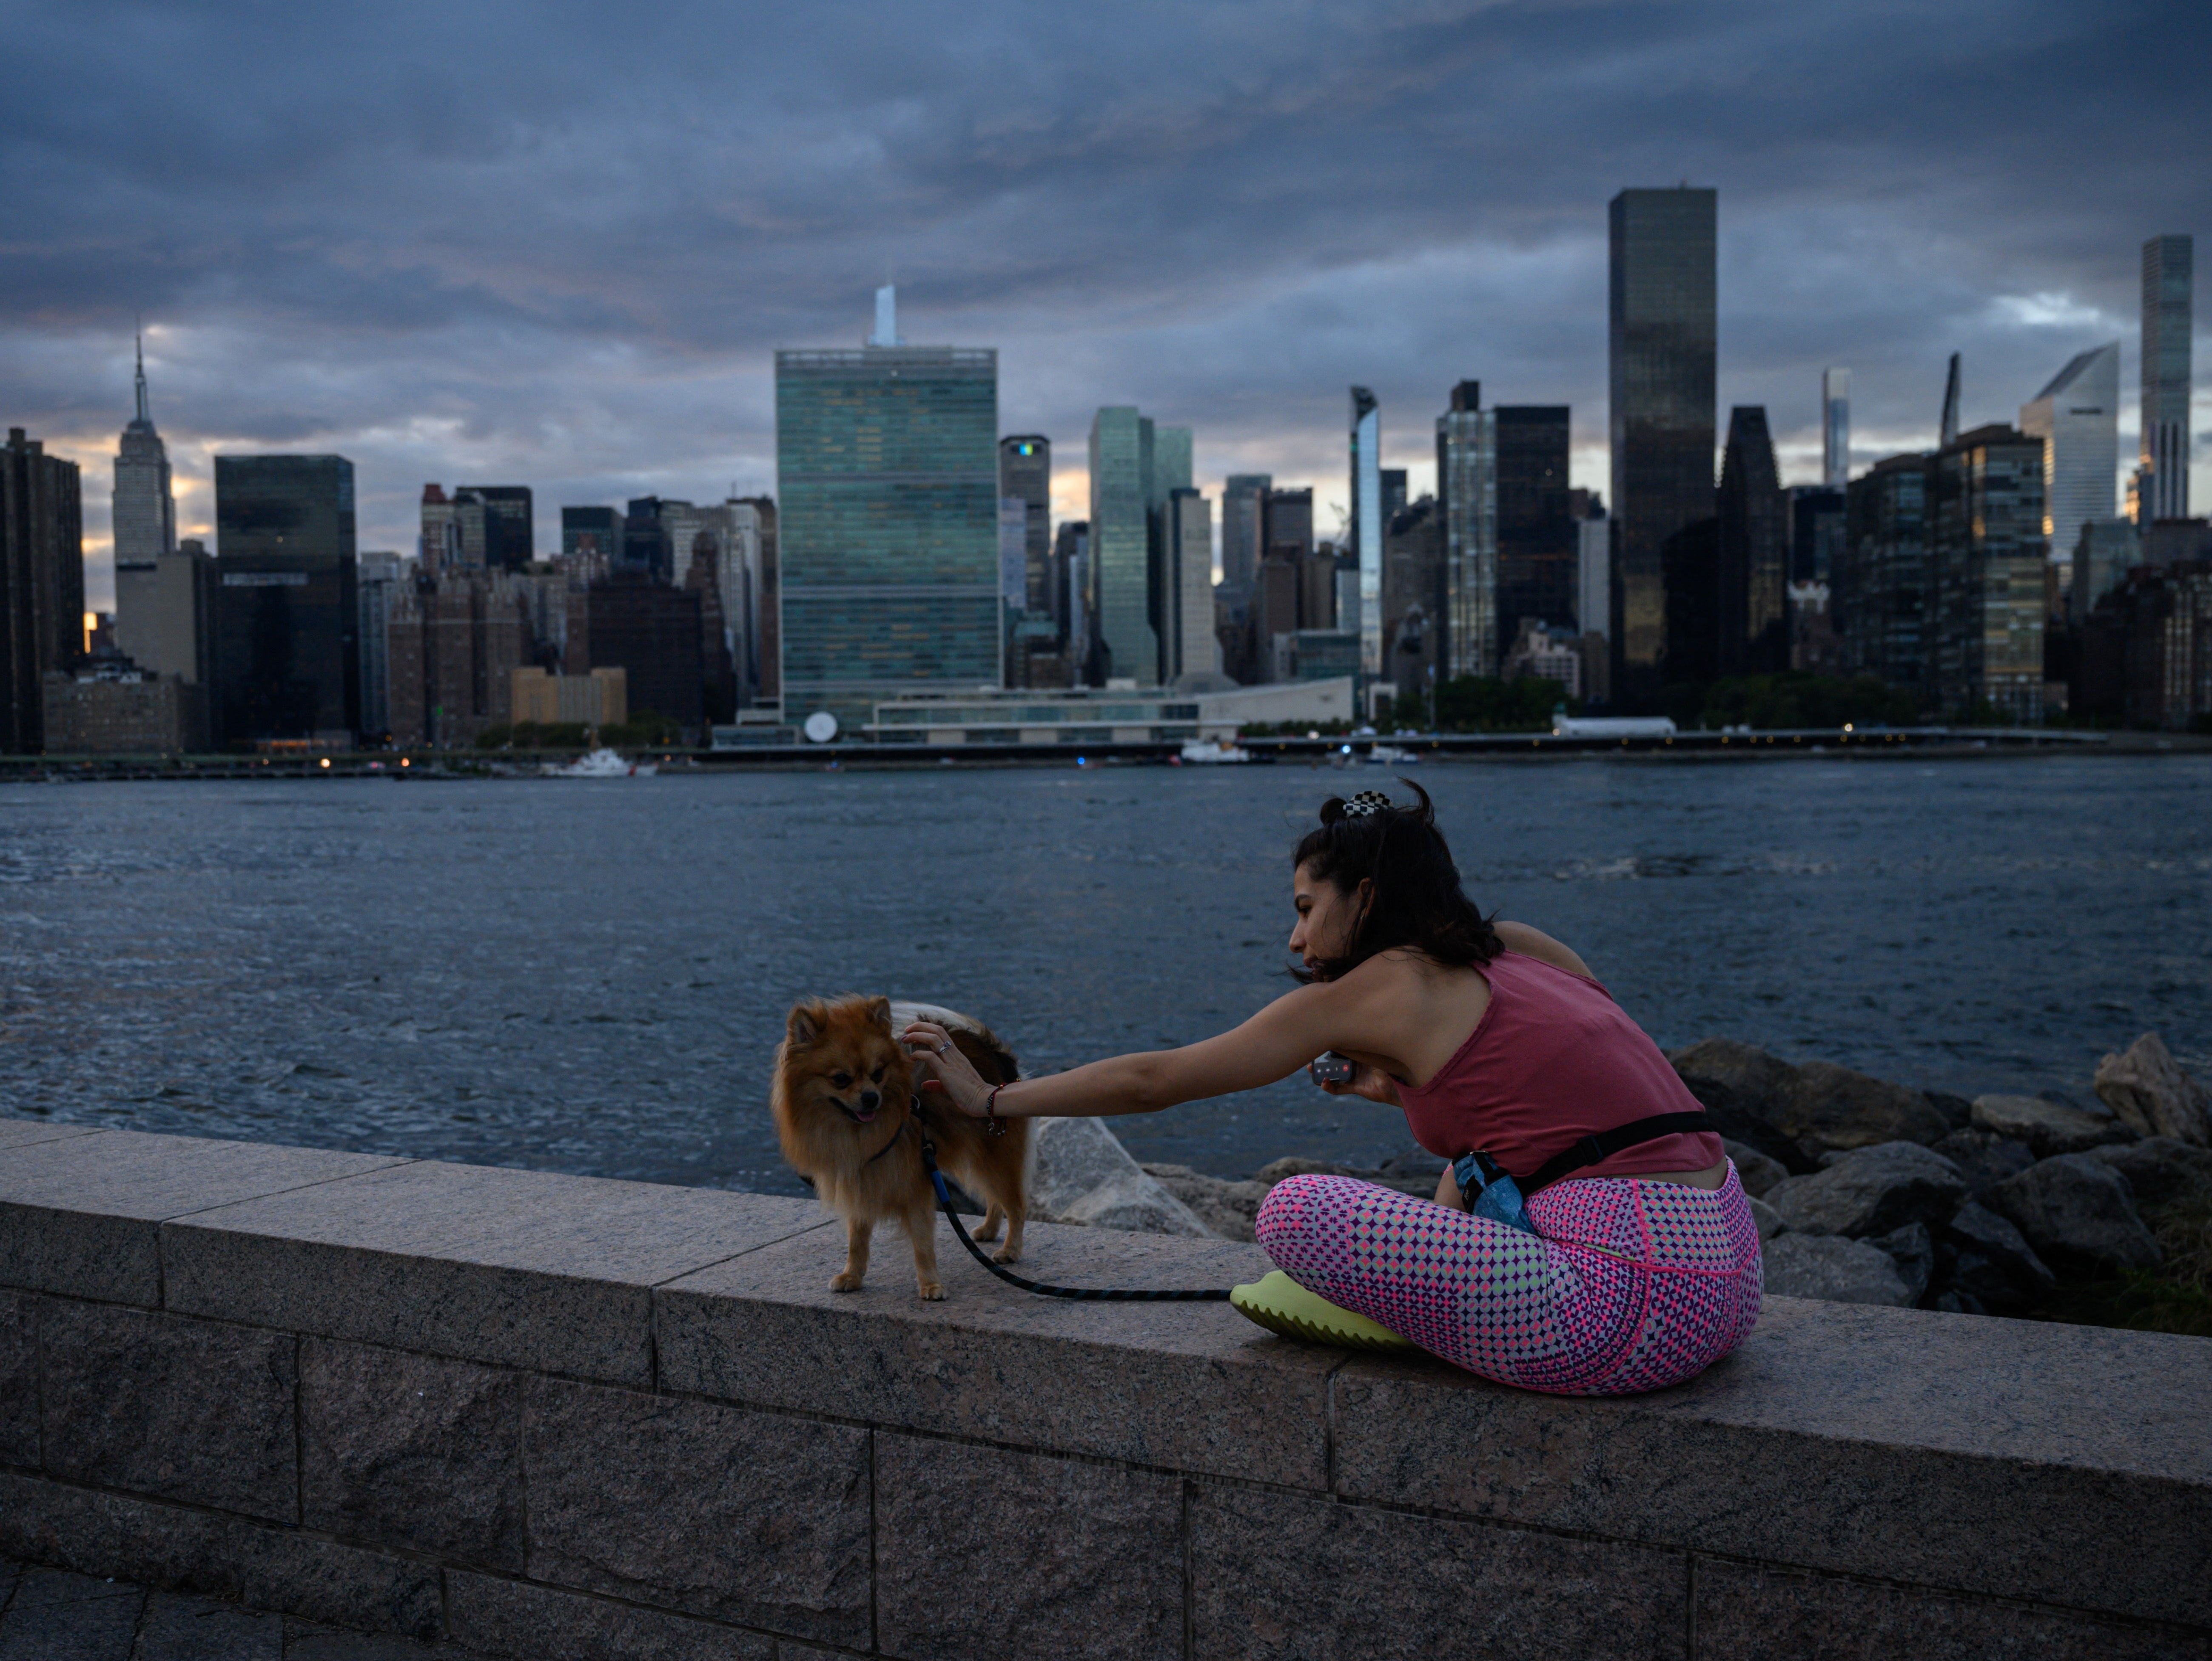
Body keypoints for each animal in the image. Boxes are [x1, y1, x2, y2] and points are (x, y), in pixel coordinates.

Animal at [774, 995, 1031, 1309]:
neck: (856, 1133)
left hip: (995, 1154)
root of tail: (993, 1049)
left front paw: (931, 1285)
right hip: (978, 1154)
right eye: (841, 1079)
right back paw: (989, 1231)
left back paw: (1010, 1249)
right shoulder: (860, 1185)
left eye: (878, 1074)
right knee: (995, 1198)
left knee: (1015, 1206)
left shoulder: (916, 1188)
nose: (871, 1097)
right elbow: (857, 1239)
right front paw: (853, 1276)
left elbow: (922, 1243)